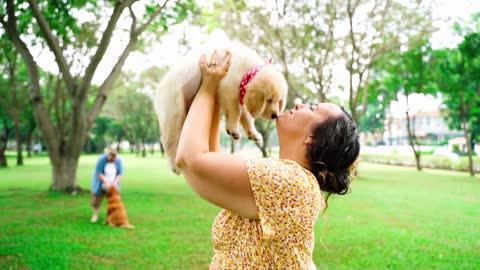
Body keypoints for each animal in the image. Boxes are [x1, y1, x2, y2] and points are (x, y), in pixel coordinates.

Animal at [155, 41, 288, 174]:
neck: (247, 70)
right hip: (174, 112)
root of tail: (158, 92)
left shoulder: (239, 94)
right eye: (268, 100)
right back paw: (174, 166)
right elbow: (236, 111)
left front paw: (253, 134)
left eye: (278, 100)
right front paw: (233, 130)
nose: (275, 115)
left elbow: (247, 118)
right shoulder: (229, 89)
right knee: (169, 141)